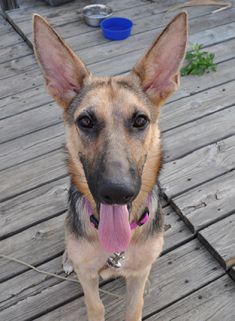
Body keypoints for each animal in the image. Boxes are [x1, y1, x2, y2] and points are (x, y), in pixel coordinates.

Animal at [32, 12, 187, 320]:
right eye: (86, 121)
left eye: (140, 120)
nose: (116, 193)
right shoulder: (88, 278)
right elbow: (95, 306)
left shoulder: (136, 278)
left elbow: (134, 306)